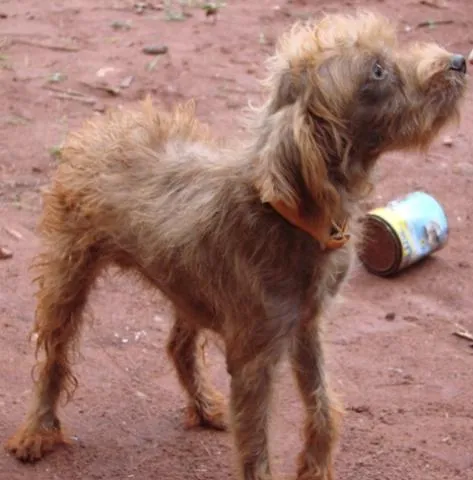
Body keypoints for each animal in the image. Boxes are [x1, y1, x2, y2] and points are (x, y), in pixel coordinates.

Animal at [5, 10, 466, 480]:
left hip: (188, 285)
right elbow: (255, 448)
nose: (458, 61)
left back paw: (204, 406)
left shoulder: (304, 326)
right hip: (68, 275)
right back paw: (37, 431)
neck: (291, 216)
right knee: (55, 357)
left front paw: (315, 467)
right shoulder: (254, 361)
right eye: (376, 71)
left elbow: (322, 407)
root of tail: (104, 122)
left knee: (178, 345)